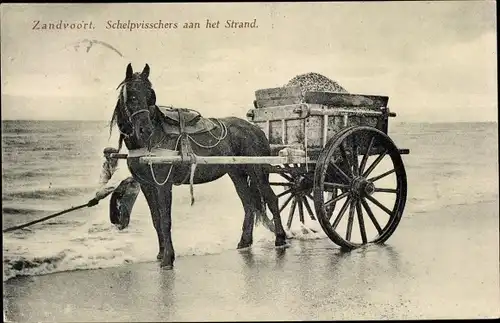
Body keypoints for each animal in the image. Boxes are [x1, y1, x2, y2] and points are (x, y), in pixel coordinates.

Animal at [111, 64, 288, 270]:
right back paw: (245, 242)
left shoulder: (163, 184)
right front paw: (161, 254)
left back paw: (280, 238)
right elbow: (156, 220)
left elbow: (165, 220)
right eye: (131, 95)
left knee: (272, 200)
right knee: (249, 204)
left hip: (258, 171)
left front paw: (168, 258)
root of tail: (255, 129)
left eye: (150, 96)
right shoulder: (147, 185)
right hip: (237, 174)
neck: (153, 139)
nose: (145, 130)